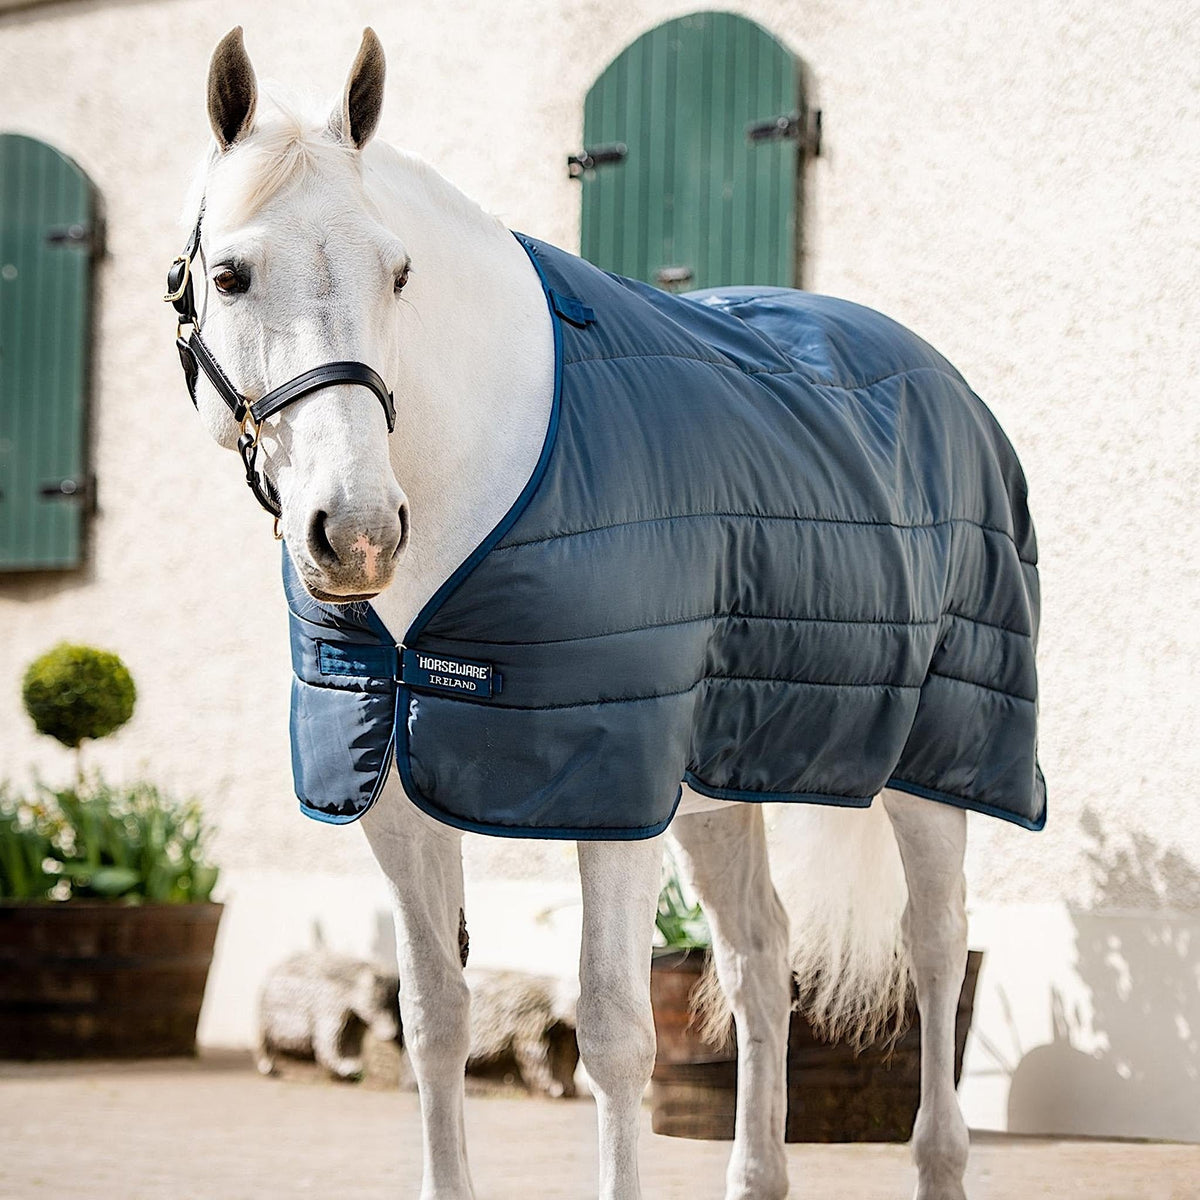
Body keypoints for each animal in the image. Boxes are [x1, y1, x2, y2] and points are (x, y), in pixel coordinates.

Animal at [174, 27, 1044, 1200]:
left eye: (399, 272)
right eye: (229, 275)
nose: (355, 533)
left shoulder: (608, 789)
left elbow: (618, 1037)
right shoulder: (397, 797)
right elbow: (433, 1023)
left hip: (936, 763)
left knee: (937, 947)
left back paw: (940, 1155)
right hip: (723, 785)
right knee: (762, 958)